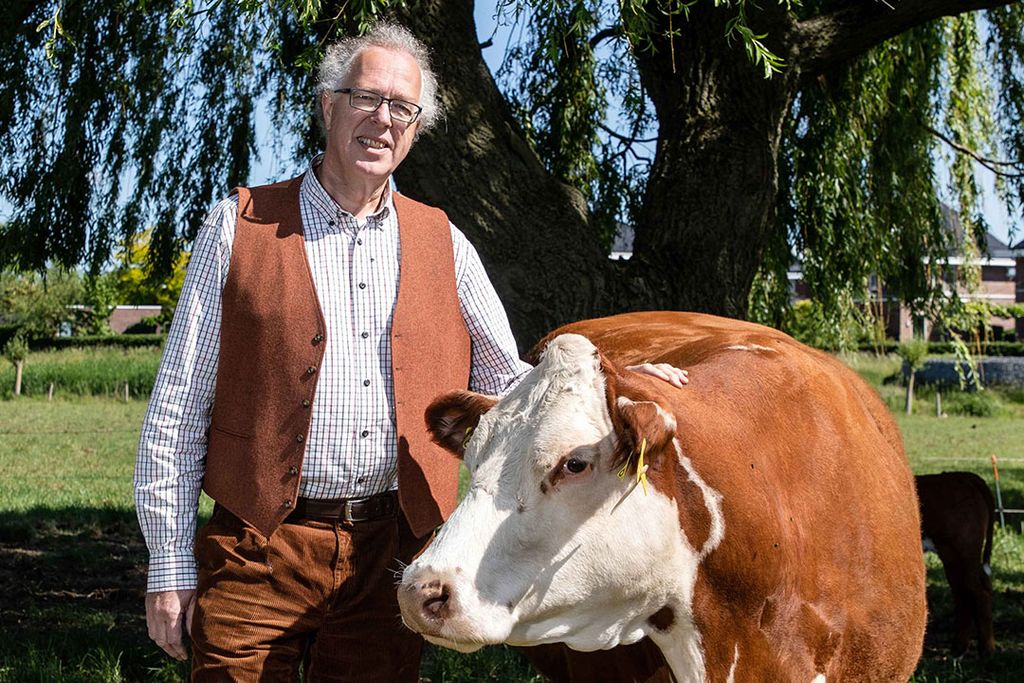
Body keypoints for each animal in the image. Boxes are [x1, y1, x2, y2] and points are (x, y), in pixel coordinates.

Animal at [917, 471, 995, 655]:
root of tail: (962, 475)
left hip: (964, 551)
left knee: (978, 593)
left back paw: (986, 651)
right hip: (954, 557)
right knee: (964, 595)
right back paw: (959, 648)